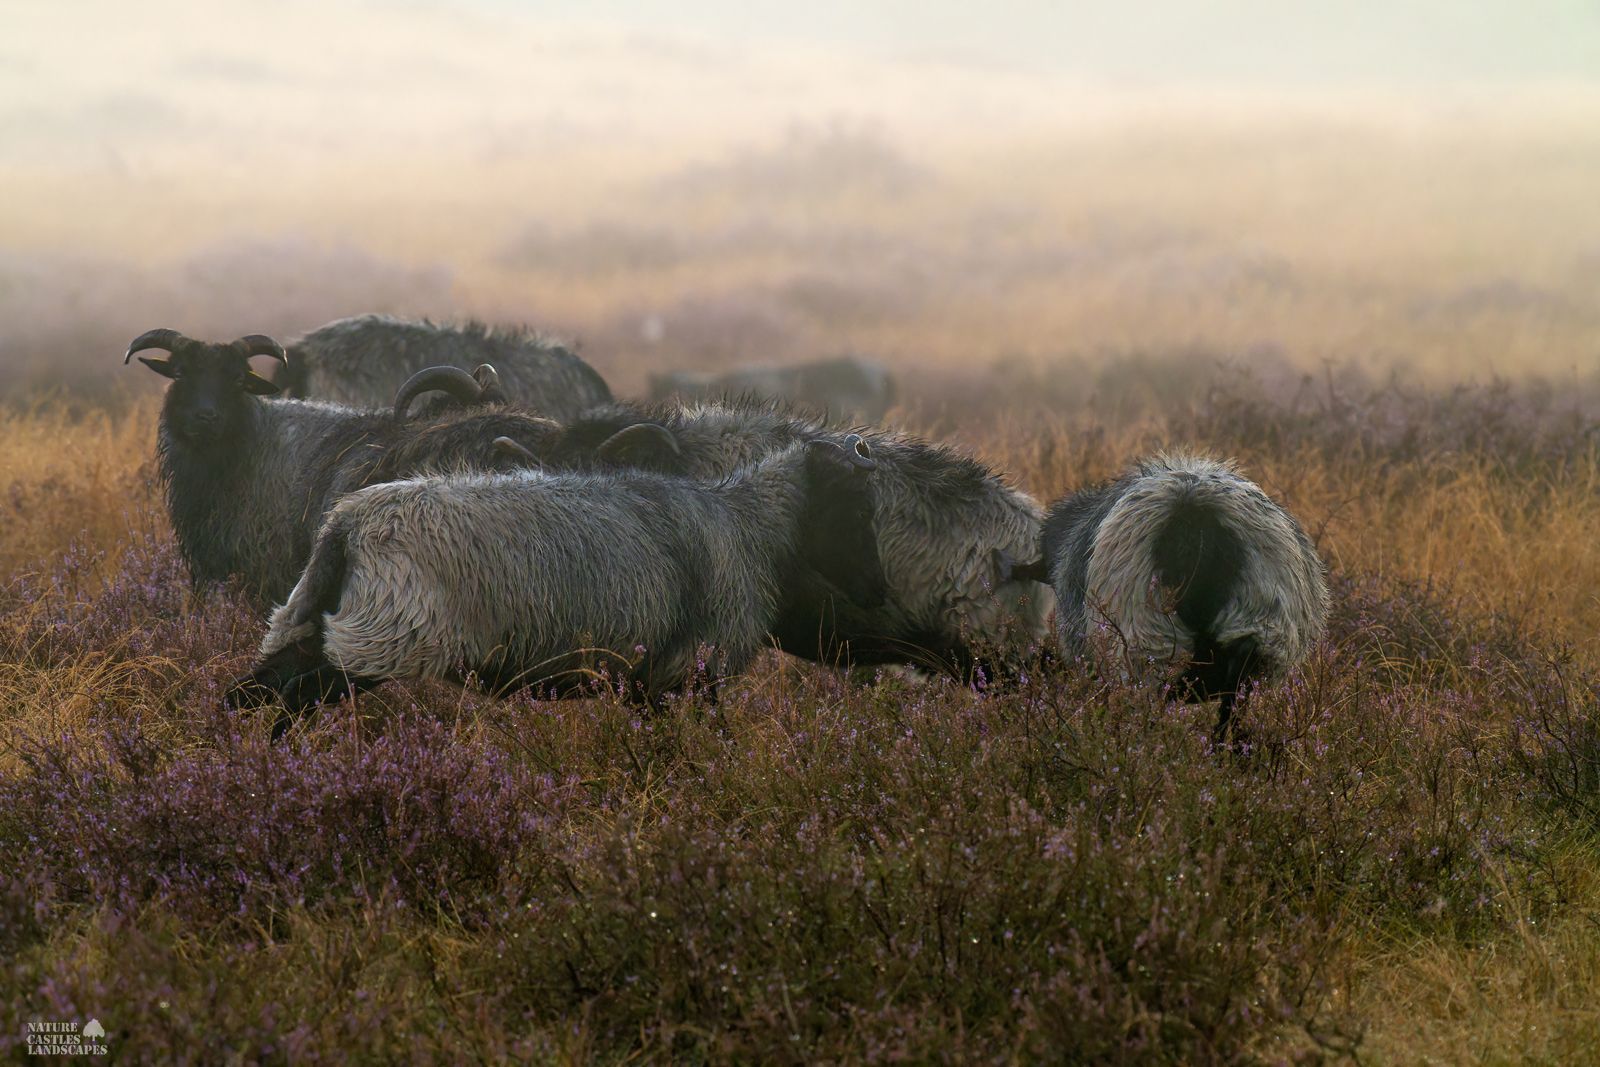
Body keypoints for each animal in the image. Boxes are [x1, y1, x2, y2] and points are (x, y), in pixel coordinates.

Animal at [228, 434, 886, 731]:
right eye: (858, 506)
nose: (878, 592)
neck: (750, 528)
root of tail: (348, 523)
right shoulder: (686, 670)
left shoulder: (649, 680)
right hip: (387, 634)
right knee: (291, 693)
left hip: (326, 620)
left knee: (259, 687)